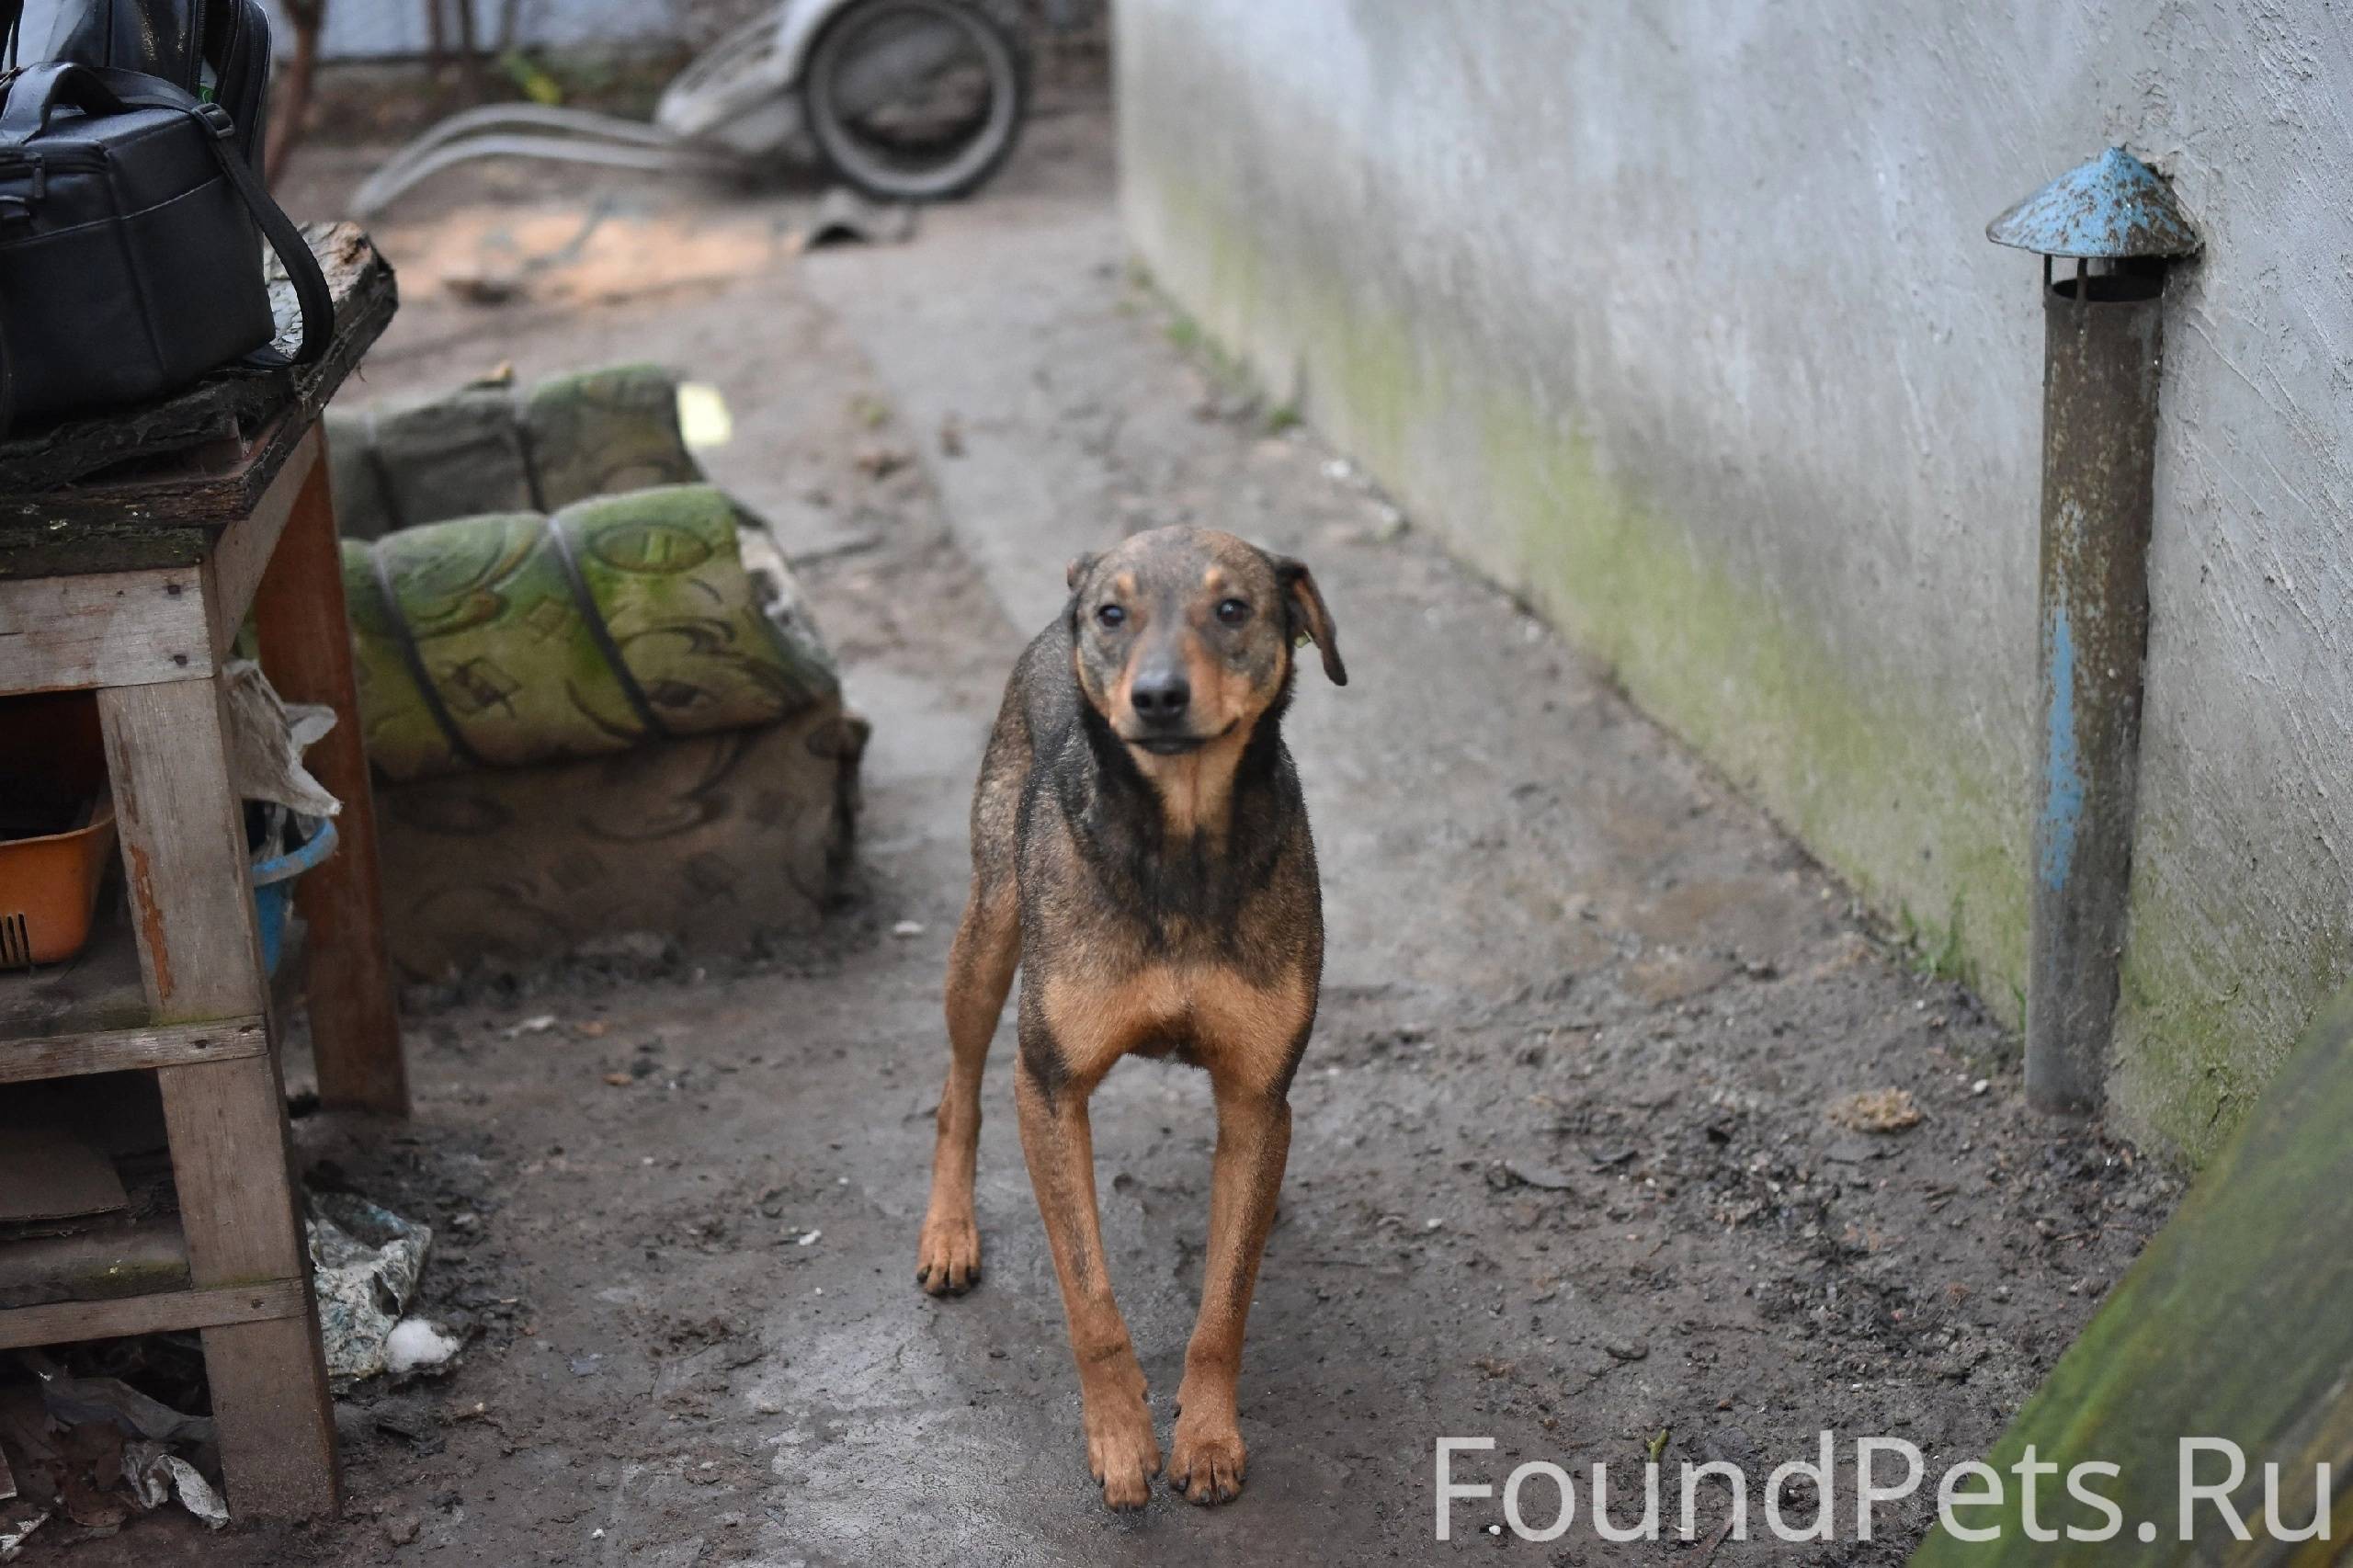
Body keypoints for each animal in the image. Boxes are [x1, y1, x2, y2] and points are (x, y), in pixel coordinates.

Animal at [913, 522, 1346, 1506]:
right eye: (1114, 614)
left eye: (1233, 608)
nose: (1156, 697)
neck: (1179, 841)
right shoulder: (1050, 1086)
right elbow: (1090, 1297)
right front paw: (1118, 1438)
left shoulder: (1258, 1097)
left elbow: (1225, 1301)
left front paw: (1209, 1437)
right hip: (989, 932)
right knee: (959, 1088)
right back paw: (950, 1231)